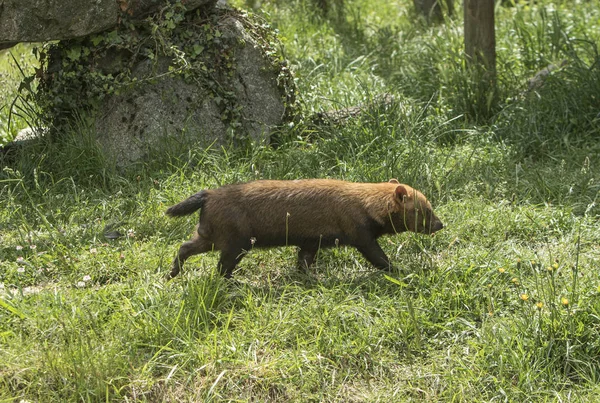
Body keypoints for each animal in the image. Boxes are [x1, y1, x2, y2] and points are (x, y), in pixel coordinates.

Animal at [166, 178, 442, 280]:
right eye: (426, 209)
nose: (441, 224)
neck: (362, 202)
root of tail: (208, 194)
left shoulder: (311, 241)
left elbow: (303, 263)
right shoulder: (361, 236)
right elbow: (380, 259)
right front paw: (401, 271)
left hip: (211, 236)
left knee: (184, 246)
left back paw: (172, 275)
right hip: (235, 242)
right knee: (221, 267)